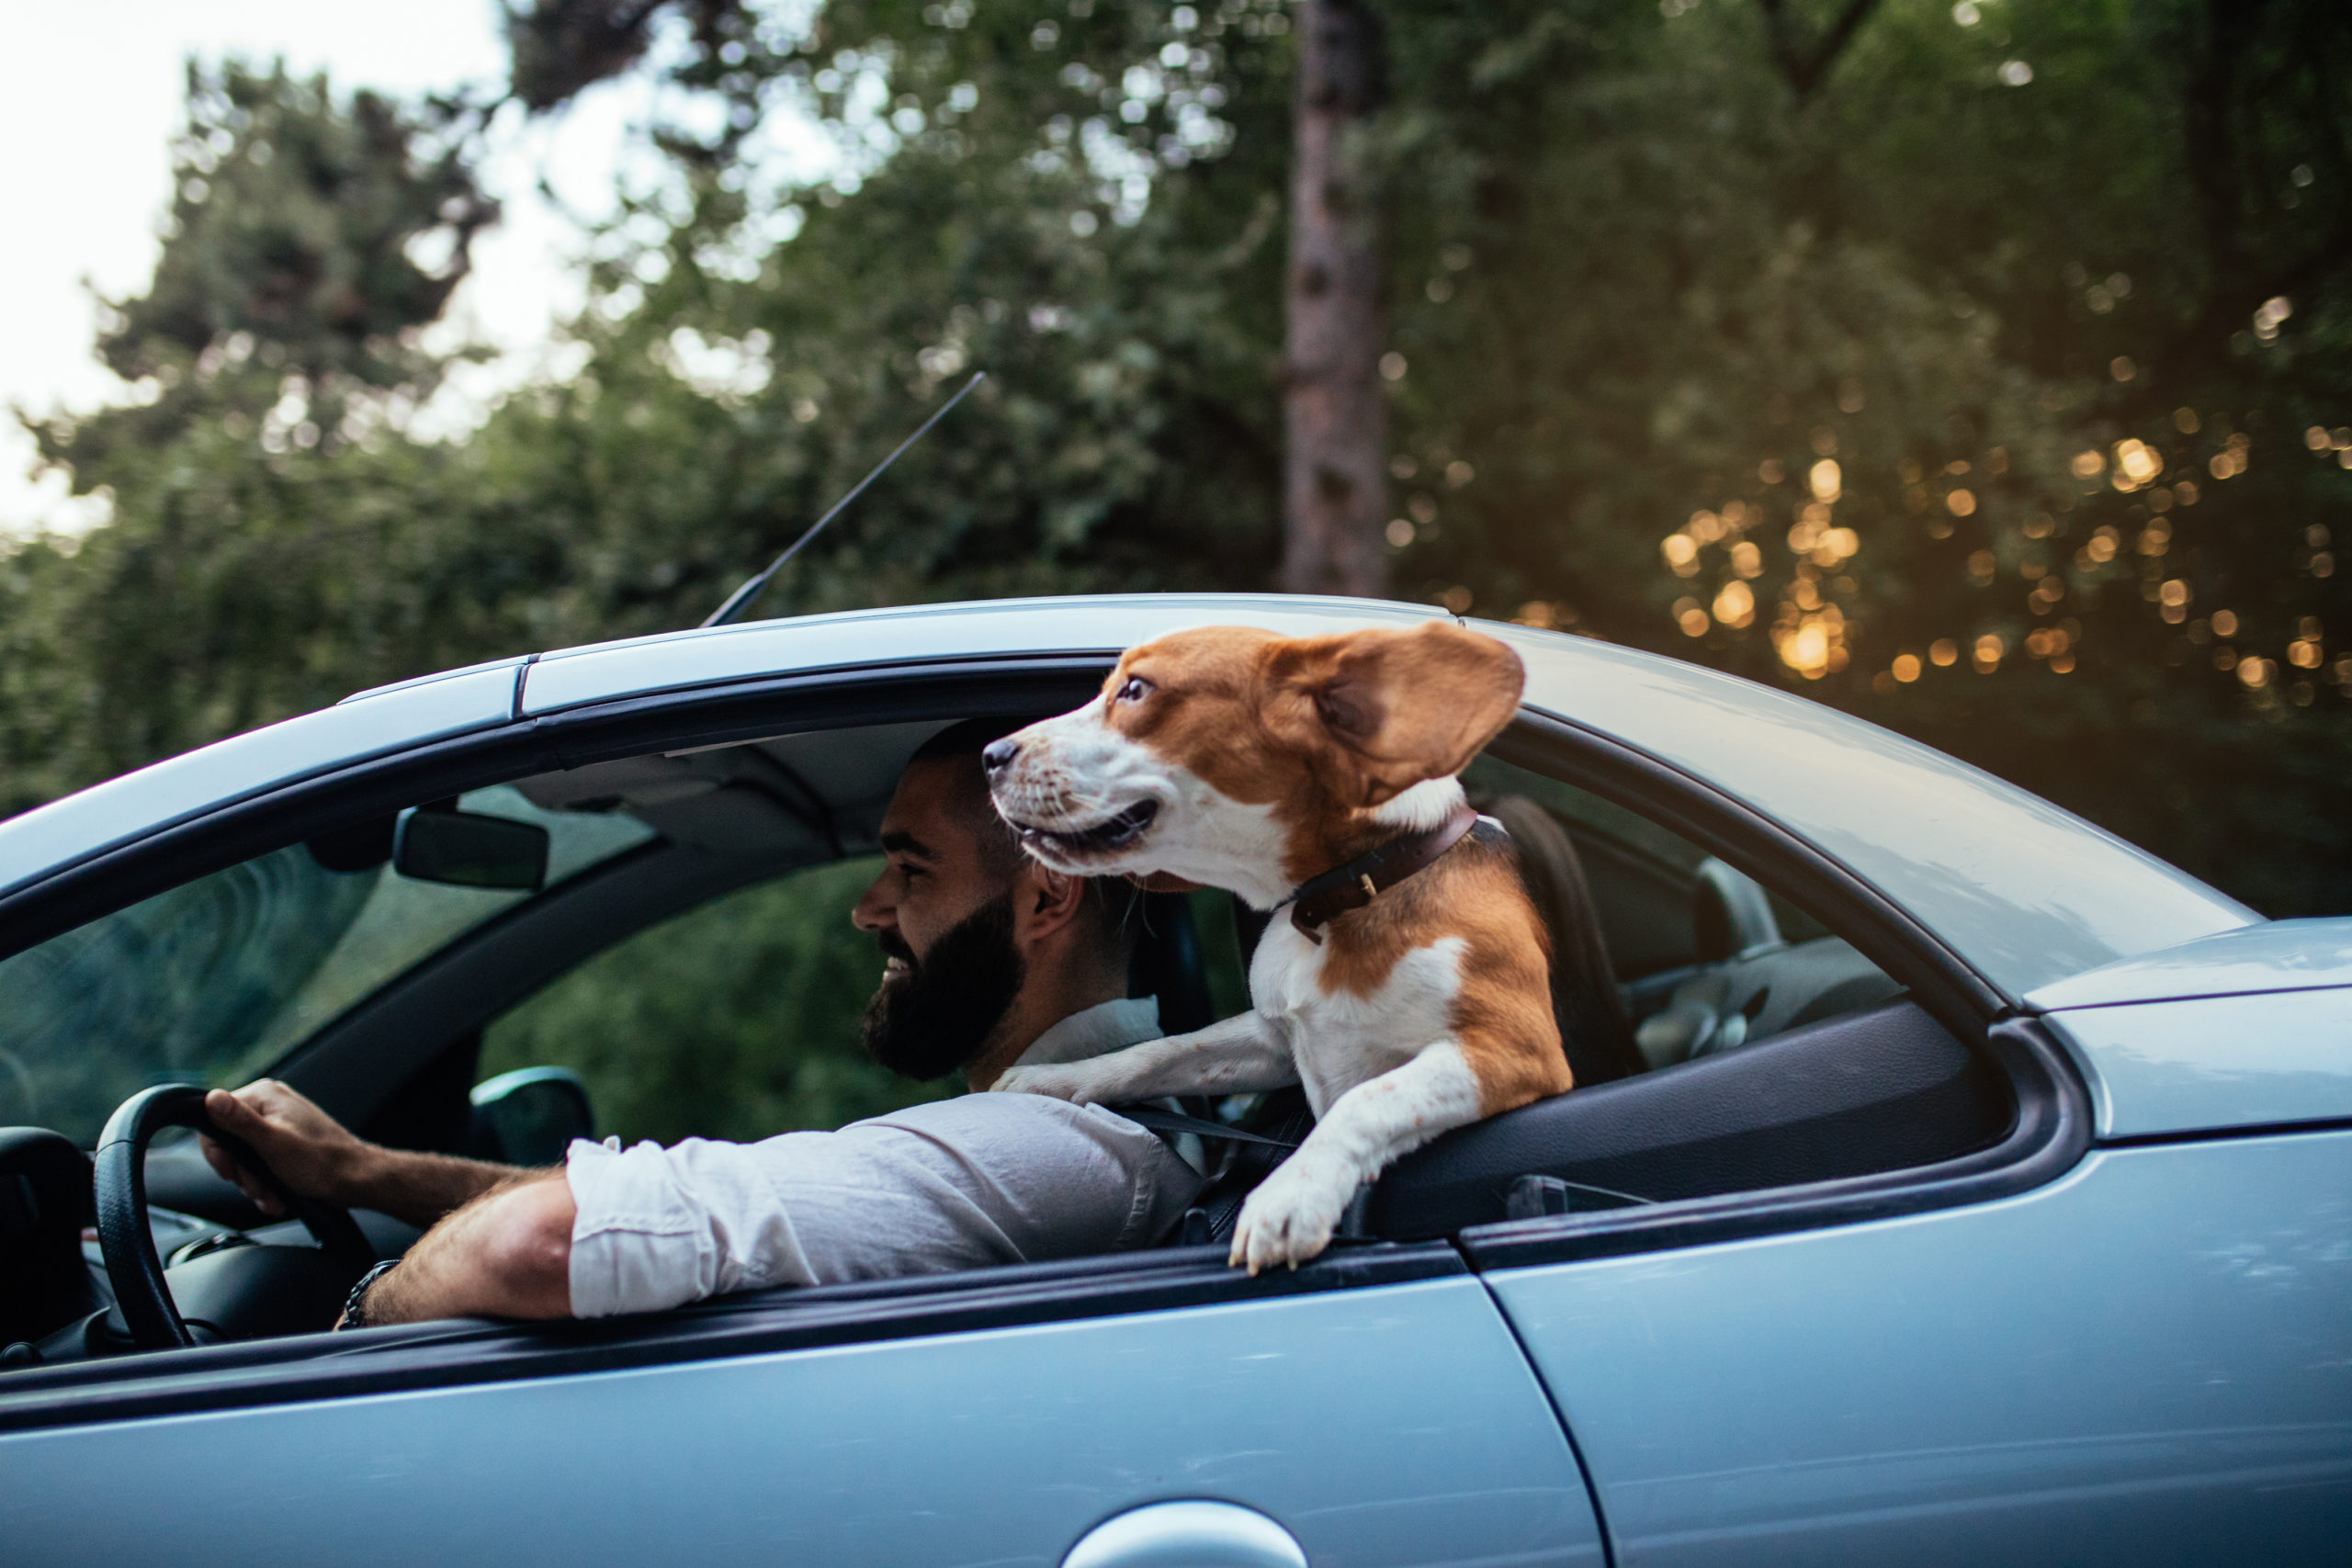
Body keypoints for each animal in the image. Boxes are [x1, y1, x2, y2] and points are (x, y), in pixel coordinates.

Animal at [983, 625, 1571, 1279]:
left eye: (1135, 690)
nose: (991, 755)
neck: (1350, 893)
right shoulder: (1273, 1043)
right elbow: (1156, 1052)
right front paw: (1053, 1081)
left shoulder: (1513, 1050)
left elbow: (1366, 1100)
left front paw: (1291, 1197)